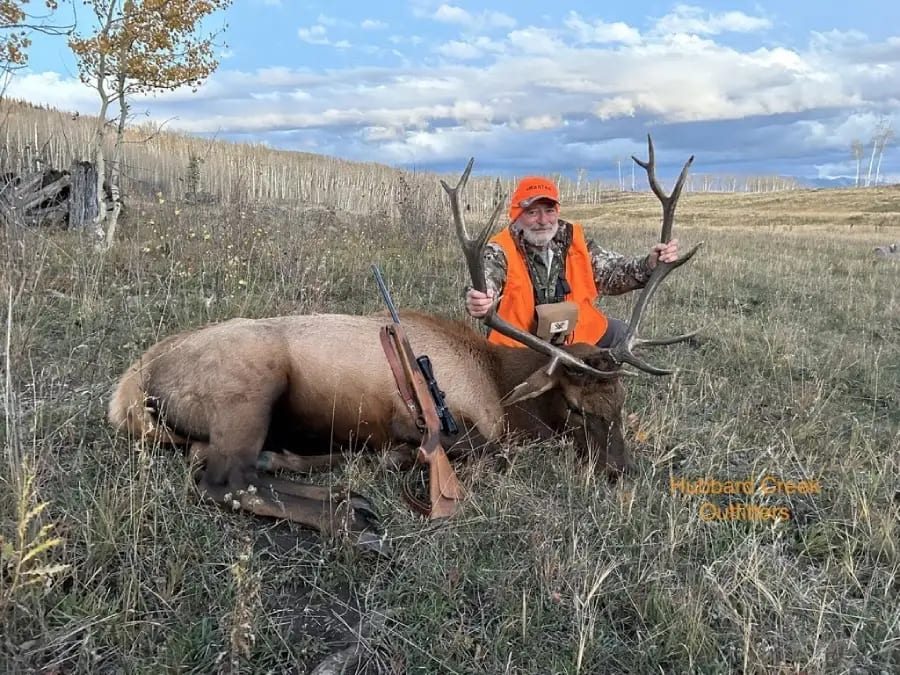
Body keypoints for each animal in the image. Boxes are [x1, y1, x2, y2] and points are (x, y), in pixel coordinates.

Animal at [107, 135, 702, 552]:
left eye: (620, 401)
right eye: (577, 408)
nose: (620, 471)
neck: (498, 384)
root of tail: (129, 389)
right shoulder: (428, 422)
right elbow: (481, 457)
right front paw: (397, 465)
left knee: (223, 463)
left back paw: (322, 477)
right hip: (248, 388)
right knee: (222, 478)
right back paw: (349, 513)